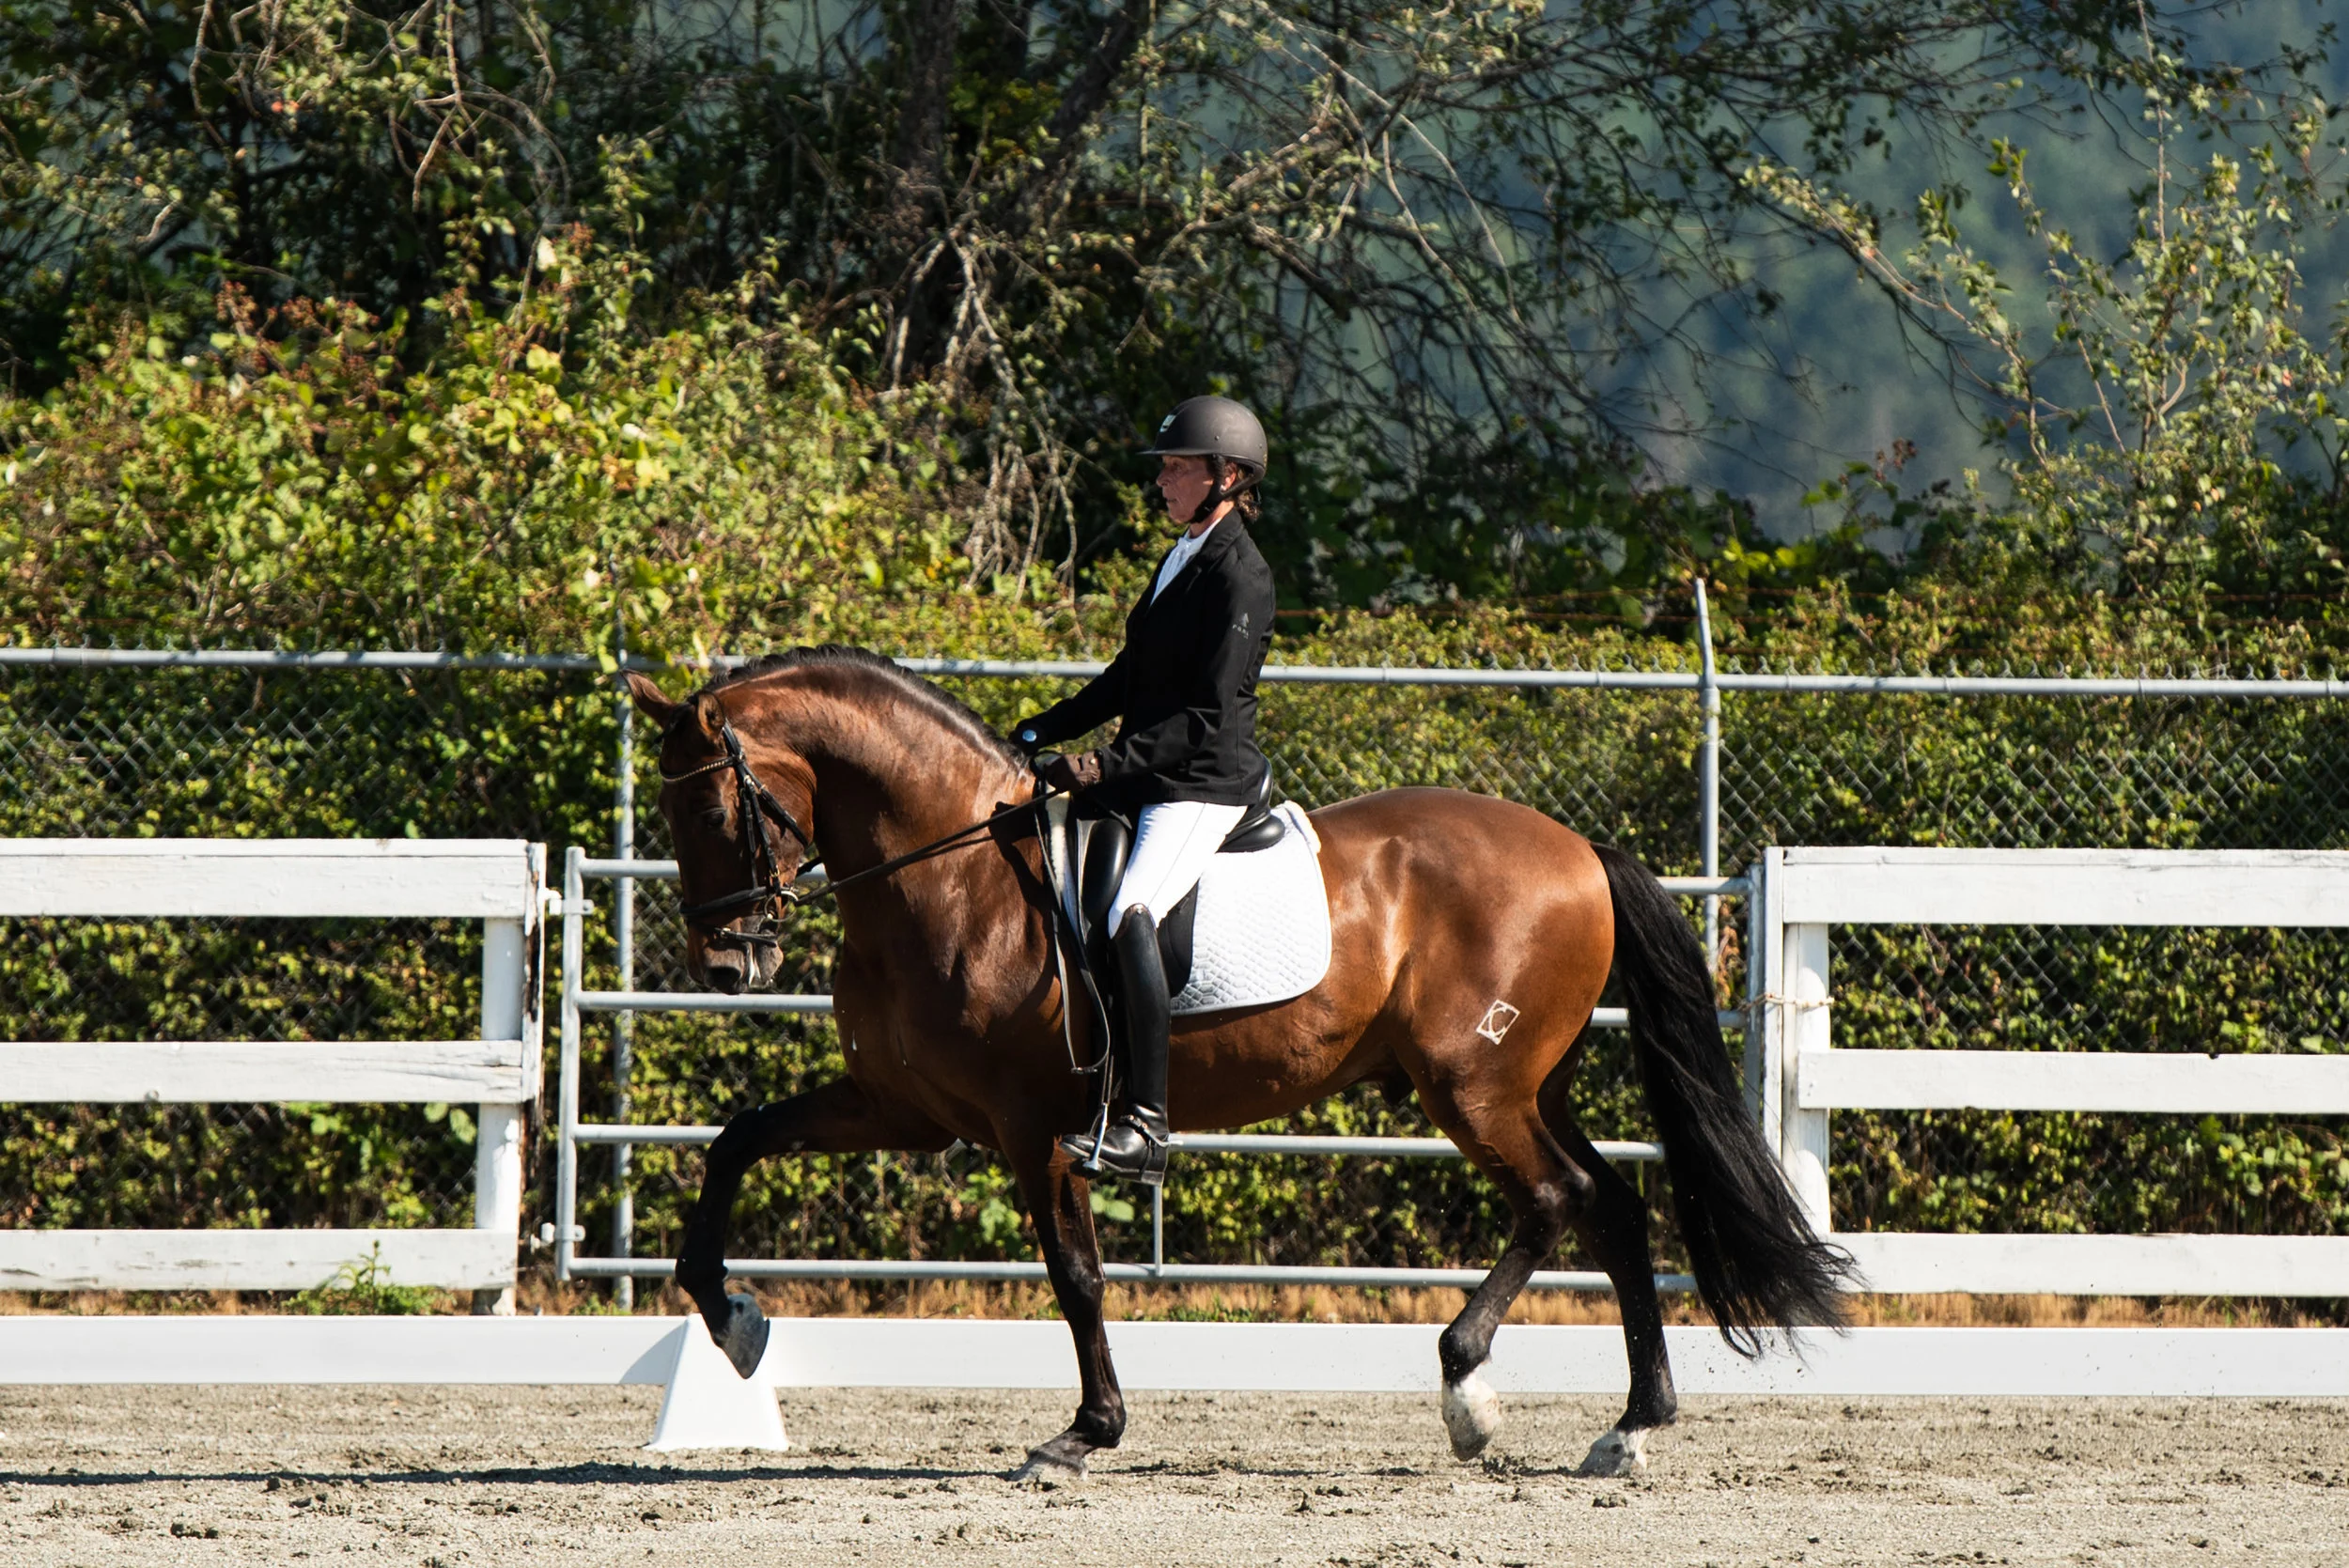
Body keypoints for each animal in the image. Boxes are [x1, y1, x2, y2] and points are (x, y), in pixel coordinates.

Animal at [624, 646, 1849, 1480]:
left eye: (714, 807)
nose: (728, 963)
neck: (952, 871)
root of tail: (1576, 848)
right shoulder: (901, 1105)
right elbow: (736, 1141)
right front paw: (731, 1322)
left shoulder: (1032, 1126)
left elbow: (1075, 1276)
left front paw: (1082, 1434)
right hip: (1520, 1083)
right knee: (1612, 1208)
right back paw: (1630, 1426)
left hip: (1473, 1087)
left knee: (1557, 1198)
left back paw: (1470, 1388)